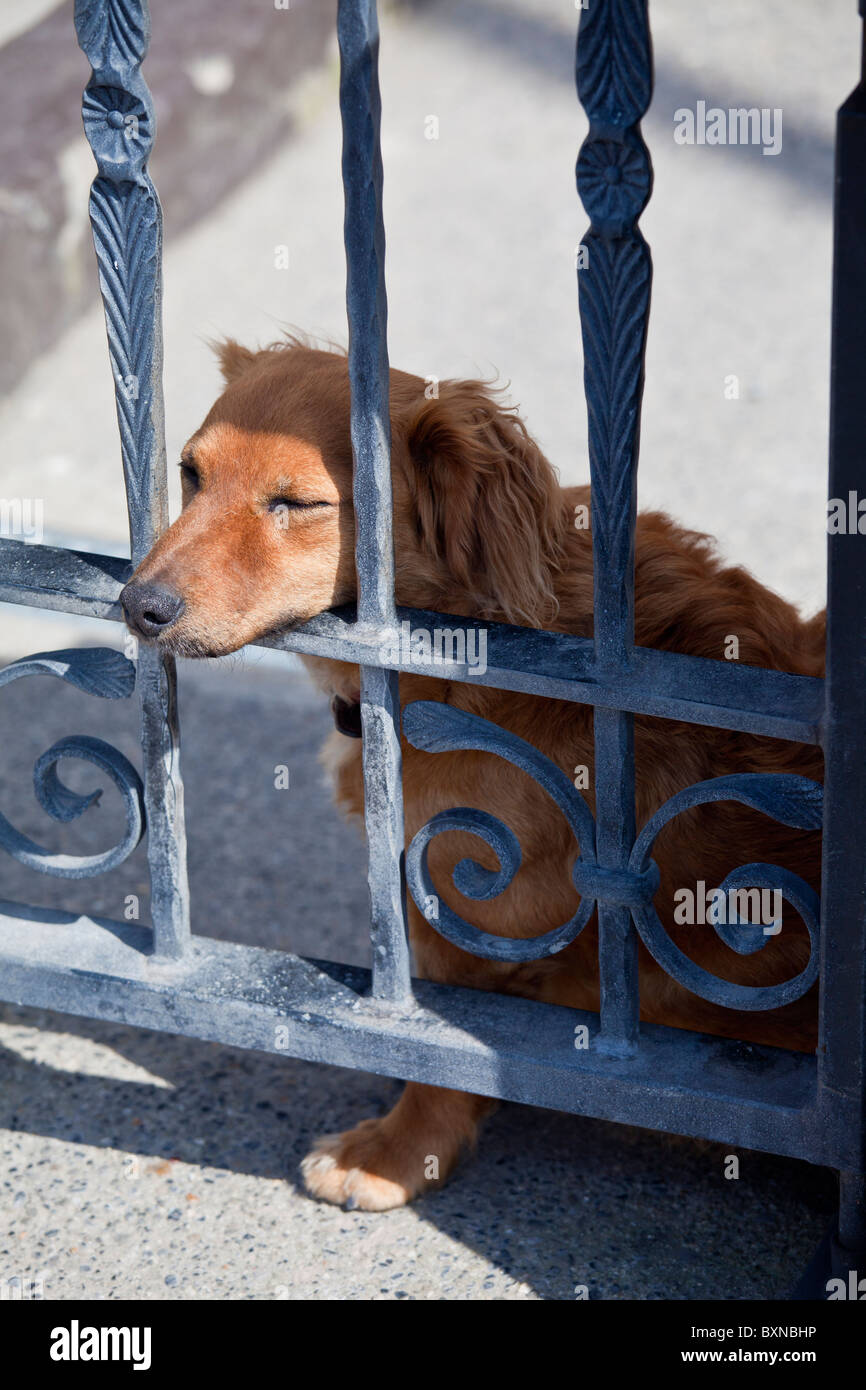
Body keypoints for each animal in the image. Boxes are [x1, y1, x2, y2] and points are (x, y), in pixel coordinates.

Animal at [118, 341, 822, 1212]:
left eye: (297, 501)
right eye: (190, 472)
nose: (138, 605)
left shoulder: (467, 905)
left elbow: (439, 1054)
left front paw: (397, 1154)